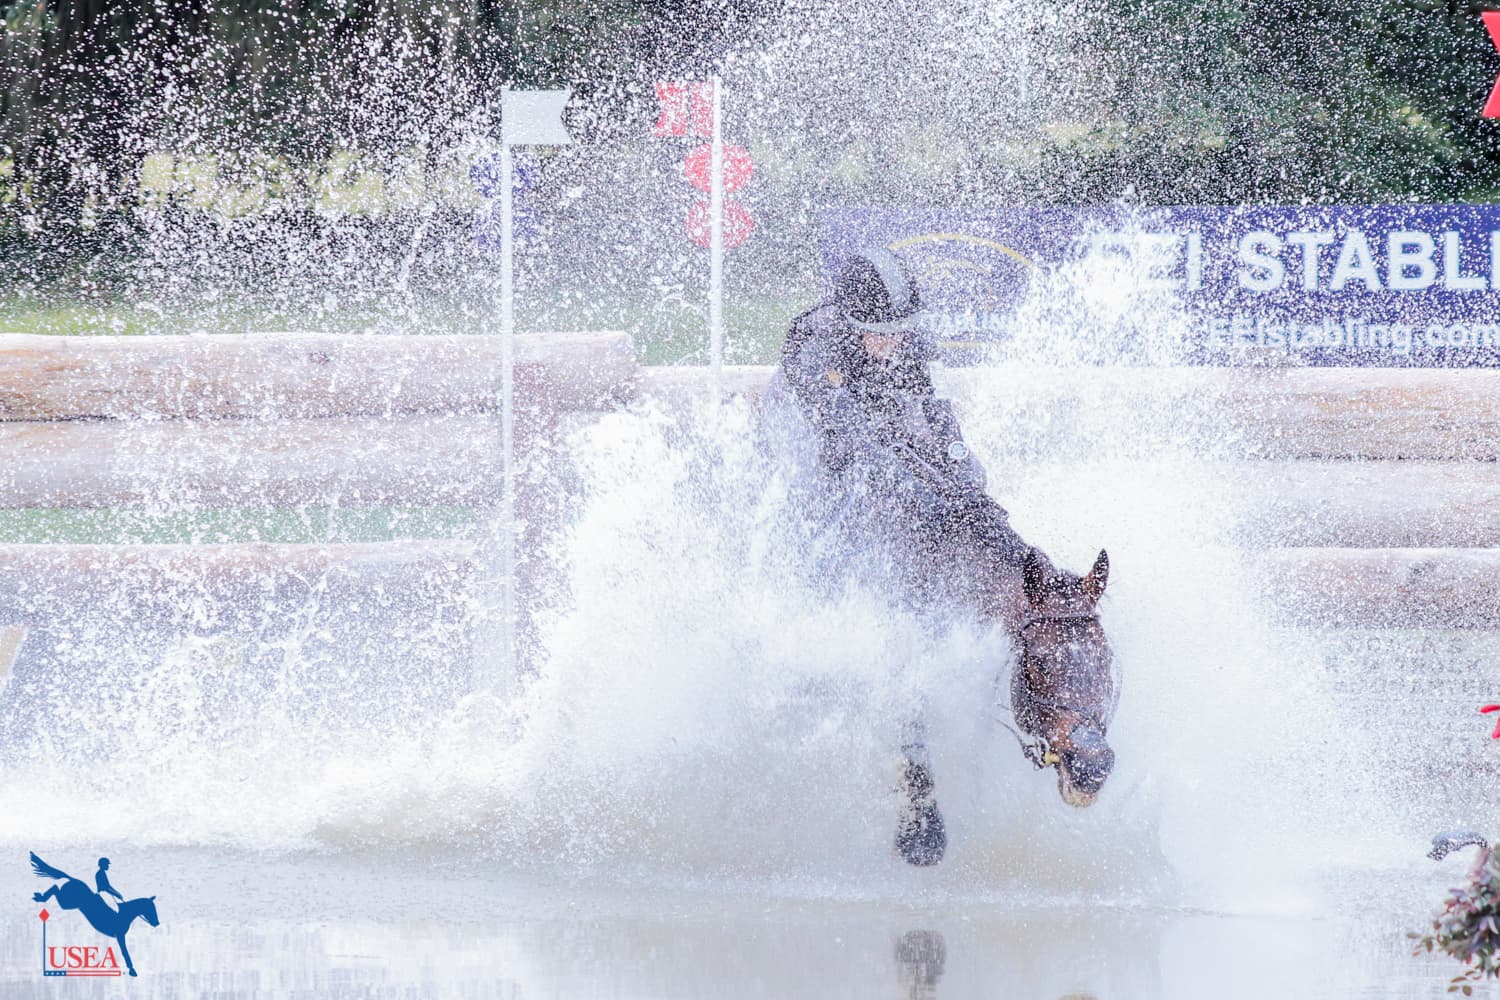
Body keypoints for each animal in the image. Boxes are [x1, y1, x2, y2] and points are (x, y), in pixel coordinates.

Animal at [30, 853, 159, 977]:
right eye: (150, 909)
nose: (157, 923)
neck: (125, 914)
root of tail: (73, 879)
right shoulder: (120, 935)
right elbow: (125, 952)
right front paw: (132, 970)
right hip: (68, 903)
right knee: (55, 888)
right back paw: (40, 897)